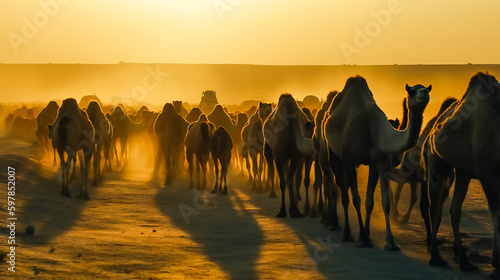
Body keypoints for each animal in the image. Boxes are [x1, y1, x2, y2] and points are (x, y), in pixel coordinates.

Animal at [324, 76, 430, 249]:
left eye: (427, 88)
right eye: (411, 91)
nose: (424, 92)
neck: (375, 130)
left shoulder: (379, 163)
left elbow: (377, 202)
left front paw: (388, 242)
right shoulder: (349, 160)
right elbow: (356, 199)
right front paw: (362, 237)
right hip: (335, 155)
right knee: (344, 194)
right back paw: (346, 233)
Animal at [422, 73, 500, 276]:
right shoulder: (488, 173)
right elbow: (496, 215)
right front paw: (497, 263)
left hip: (462, 173)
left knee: (454, 211)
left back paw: (463, 259)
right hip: (436, 164)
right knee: (435, 208)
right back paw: (435, 256)